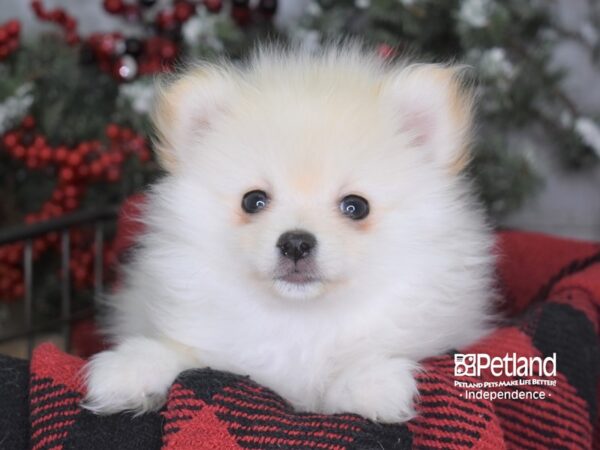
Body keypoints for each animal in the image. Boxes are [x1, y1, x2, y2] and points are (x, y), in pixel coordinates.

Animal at [85, 44, 496, 422]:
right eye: (253, 201)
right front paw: (128, 370)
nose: (296, 242)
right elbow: (184, 354)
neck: (300, 321)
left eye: (356, 206)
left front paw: (371, 382)